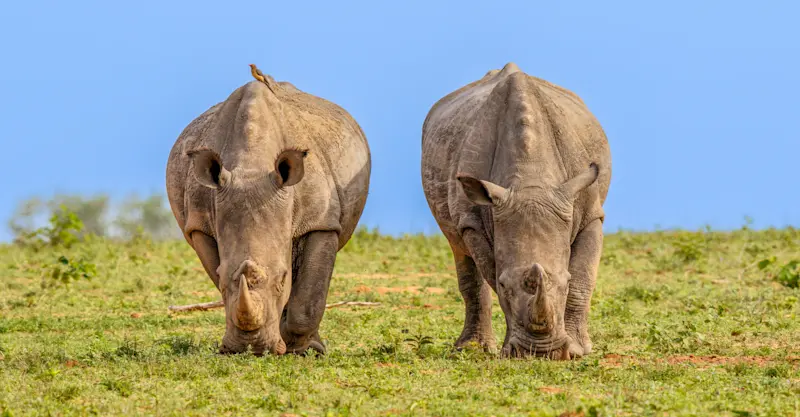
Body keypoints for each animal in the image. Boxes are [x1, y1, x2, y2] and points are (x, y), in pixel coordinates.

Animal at [166, 72, 371, 356]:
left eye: (282, 279)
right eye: (221, 276)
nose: (251, 348)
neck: (252, 166)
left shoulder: (321, 221)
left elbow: (309, 295)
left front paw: (305, 350)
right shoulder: (199, 224)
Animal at [421, 63, 611, 360]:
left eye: (565, 283)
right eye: (504, 285)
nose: (542, 354)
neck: (531, 183)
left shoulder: (590, 211)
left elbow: (583, 279)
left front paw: (578, 350)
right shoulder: (474, 221)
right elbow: (490, 271)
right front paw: (509, 352)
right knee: (458, 247)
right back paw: (470, 348)